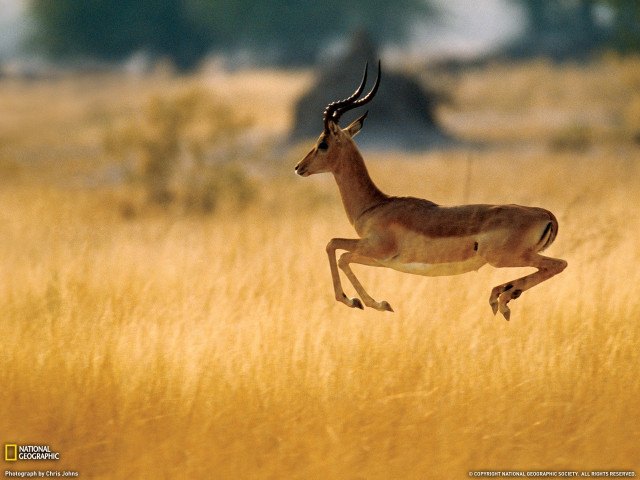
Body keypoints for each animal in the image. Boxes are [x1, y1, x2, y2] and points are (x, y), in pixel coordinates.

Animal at [295, 61, 567, 320]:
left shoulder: (375, 248)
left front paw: (365, 302)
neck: (375, 205)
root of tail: (546, 214)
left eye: (322, 143)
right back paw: (502, 296)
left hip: (505, 258)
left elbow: (335, 248)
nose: (299, 167)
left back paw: (502, 299)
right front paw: (371, 303)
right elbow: (338, 251)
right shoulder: (383, 261)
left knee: (558, 264)